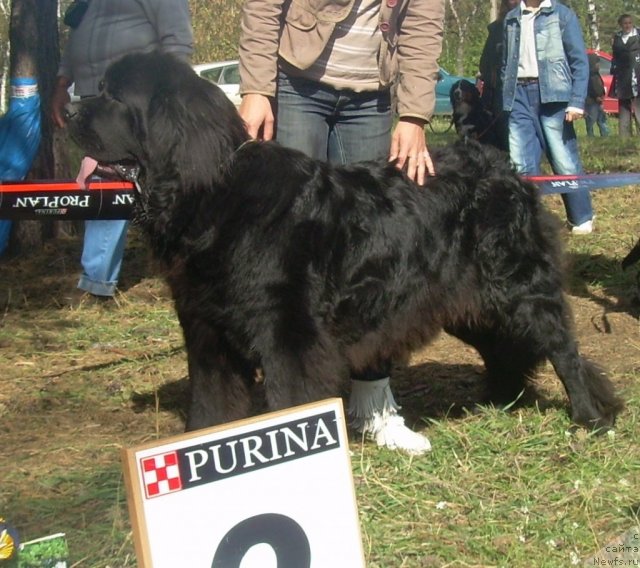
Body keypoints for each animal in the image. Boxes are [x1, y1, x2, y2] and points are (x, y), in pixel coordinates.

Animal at [66, 54, 620, 434]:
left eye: (113, 98)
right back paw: (503, 399)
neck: (211, 196)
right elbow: (210, 406)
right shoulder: (206, 333)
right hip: (466, 300)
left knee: (561, 346)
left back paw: (591, 415)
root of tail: (506, 168)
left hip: (518, 285)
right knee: (504, 347)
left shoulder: (288, 337)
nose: (69, 113)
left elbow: (288, 403)